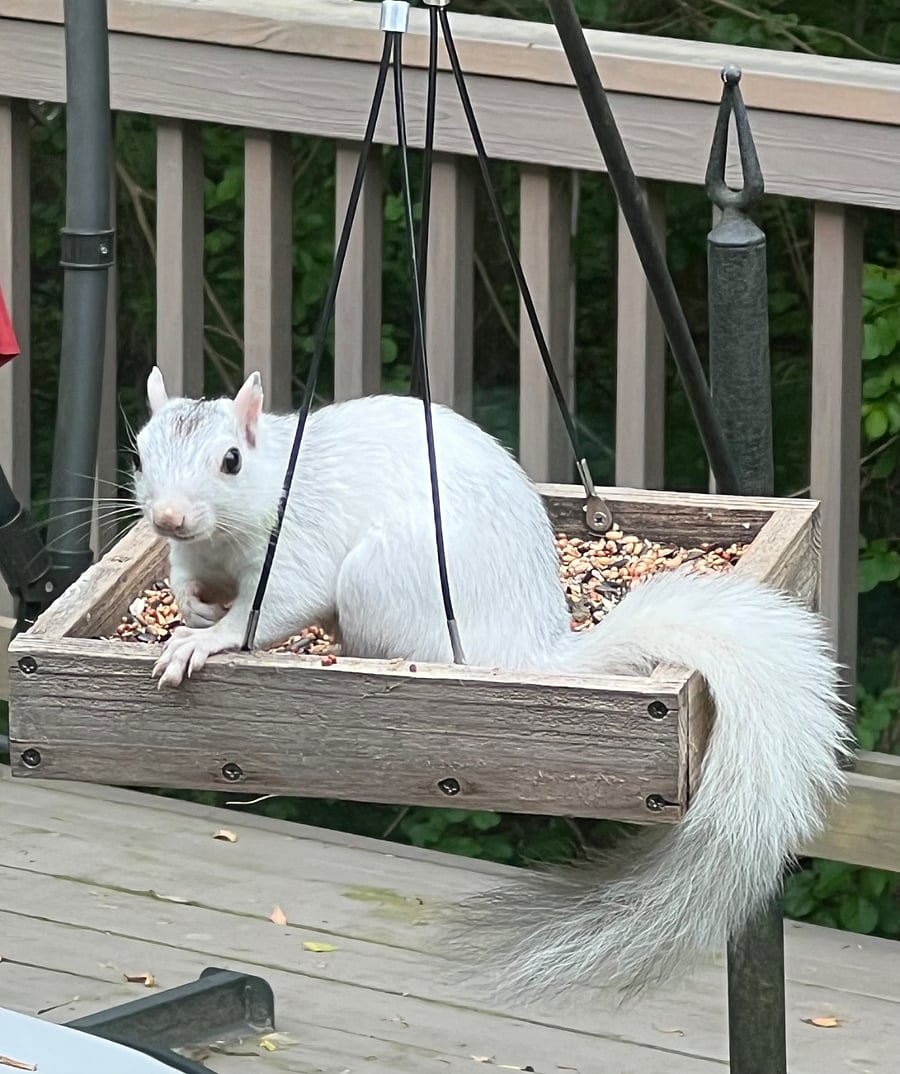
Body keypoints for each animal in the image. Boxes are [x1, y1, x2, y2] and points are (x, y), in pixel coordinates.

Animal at [133, 366, 850, 1001]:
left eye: (231, 461)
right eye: (140, 451)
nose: (167, 518)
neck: (227, 532)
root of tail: (522, 651)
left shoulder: (295, 545)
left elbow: (277, 604)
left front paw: (205, 639)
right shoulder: (193, 553)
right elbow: (182, 576)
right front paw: (189, 608)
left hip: (380, 581)